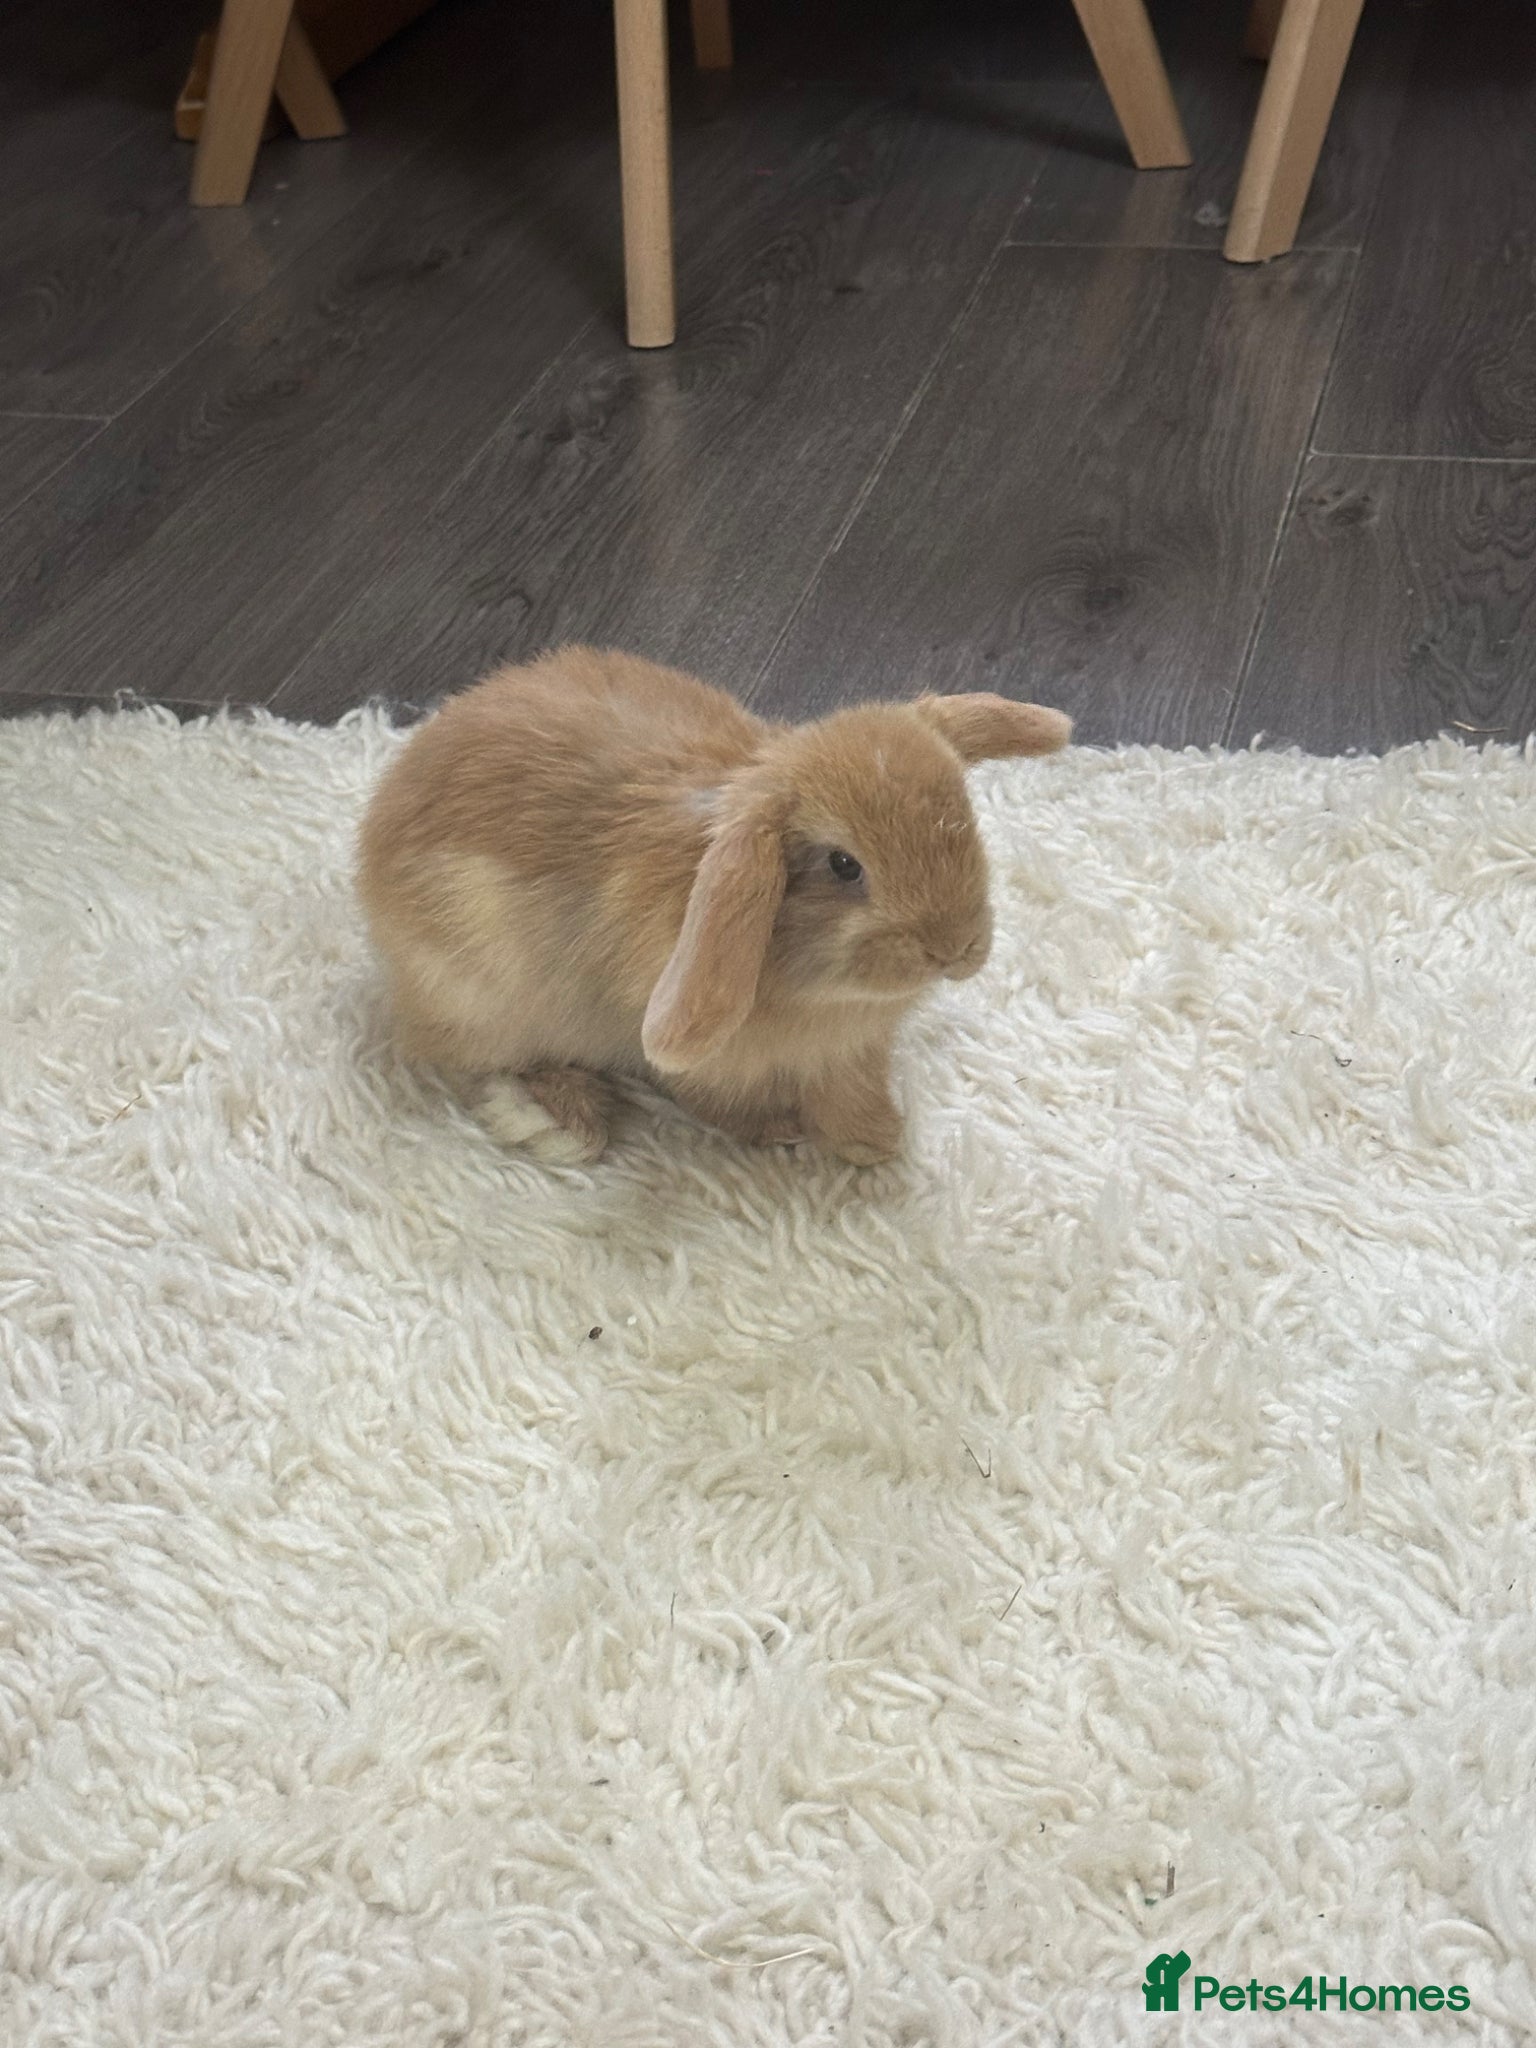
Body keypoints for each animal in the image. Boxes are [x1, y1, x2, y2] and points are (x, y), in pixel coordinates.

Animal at [357, 646, 1071, 1166]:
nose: (955, 949)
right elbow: (712, 1097)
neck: (816, 986)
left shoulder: (851, 1053)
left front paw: (872, 1143)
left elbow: (849, 1091)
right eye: (844, 865)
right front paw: (783, 1133)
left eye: (966, 819)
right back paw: (560, 1119)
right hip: (484, 993)